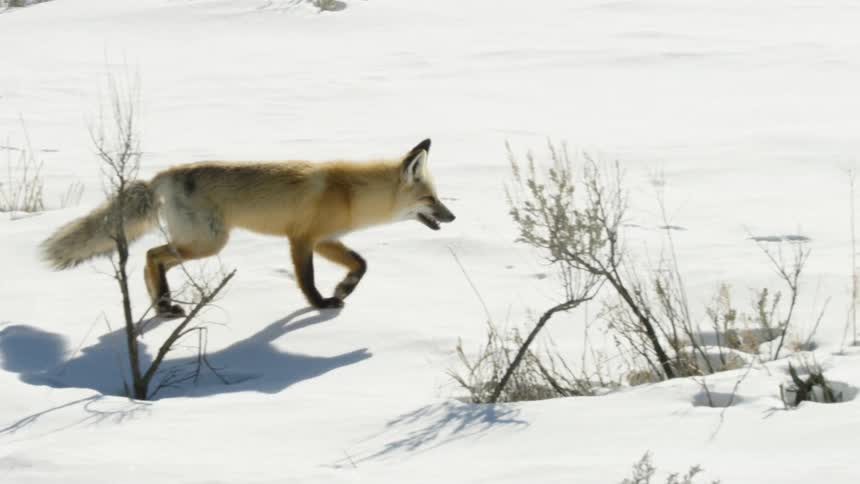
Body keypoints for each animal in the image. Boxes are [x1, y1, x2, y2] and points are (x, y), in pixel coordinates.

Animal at [40, 139, 455, 316]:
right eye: (431, 199)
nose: (452, 217)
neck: (351, 194)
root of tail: (161, 176)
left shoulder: (326, 239)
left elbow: (361, 264)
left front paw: (343, 288)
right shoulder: (302, 239)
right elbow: (307, 280)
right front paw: (321, 304)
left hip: (200, 242)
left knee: (150, 259)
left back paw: (161, 304)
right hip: (209, 243)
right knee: (151, 255)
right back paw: (164, 303)